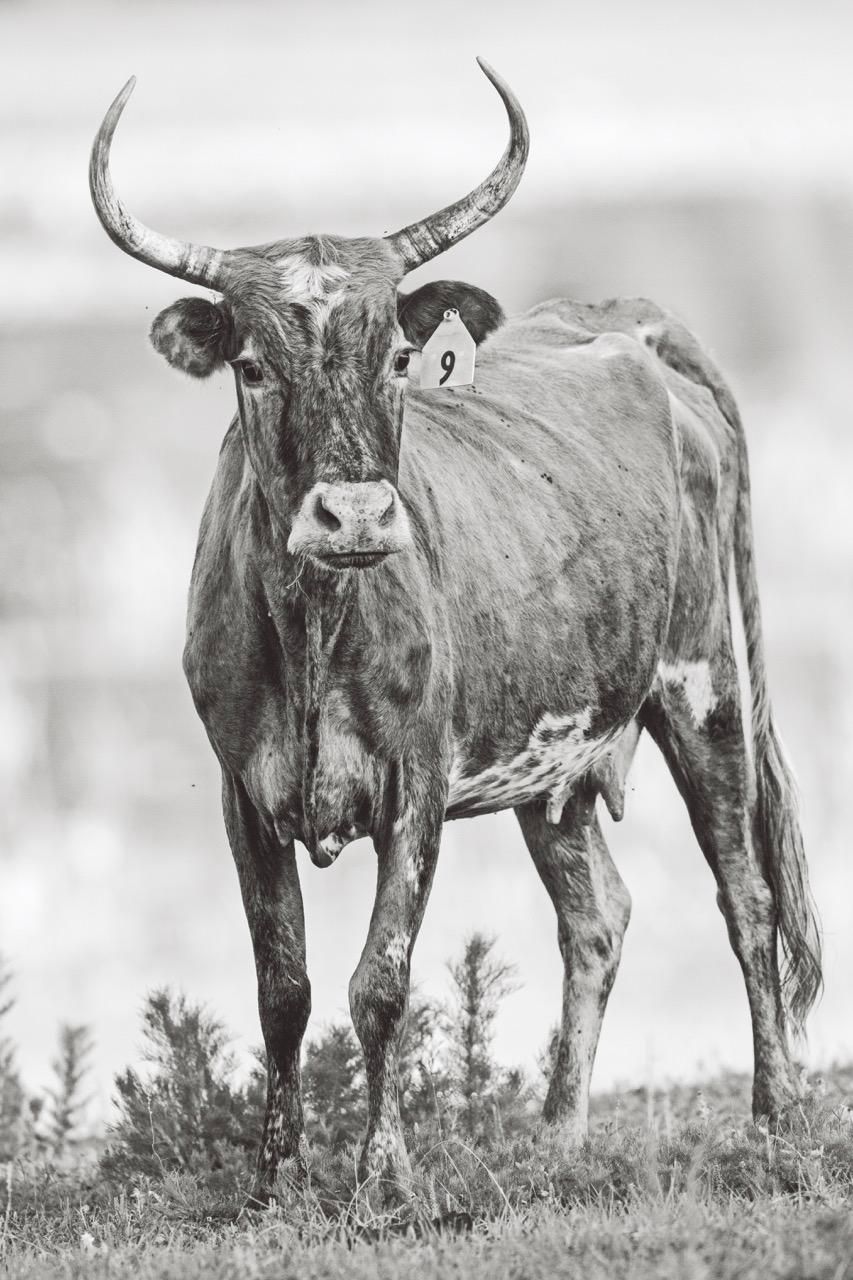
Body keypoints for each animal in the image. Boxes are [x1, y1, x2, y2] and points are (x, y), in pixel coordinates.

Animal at [90, 60, 822, 1202]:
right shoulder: (241, 792)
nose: (353, 515)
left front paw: (381, 1178)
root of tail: (631, 325)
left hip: (703, 688)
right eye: (251, 365)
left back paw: (777, 1125)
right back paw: (557, 1138)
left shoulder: (417, 781)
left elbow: (379, 979)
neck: (316, 629)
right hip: (556, 763)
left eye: (398, 355)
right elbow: (282, 984)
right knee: (596, 916)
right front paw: (272, 1179)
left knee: (745, 895)